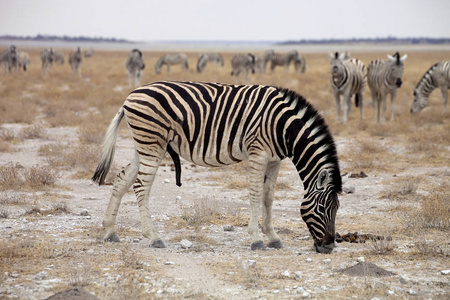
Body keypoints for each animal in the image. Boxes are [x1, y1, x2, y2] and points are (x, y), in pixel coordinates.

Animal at [93, 80, 342, 253]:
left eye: (337, 208)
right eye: (322, 208)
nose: (329, 246)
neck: (284, 128)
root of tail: (131, 95)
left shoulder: (274, 159)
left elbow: (268, 198)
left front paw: (273, 237)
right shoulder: (258, 153)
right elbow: (255, 194)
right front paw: (256, 239)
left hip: (146, 146)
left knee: (122, 179)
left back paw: (110, 231)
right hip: (152, 143)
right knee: (141, 185)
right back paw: (154, 237)